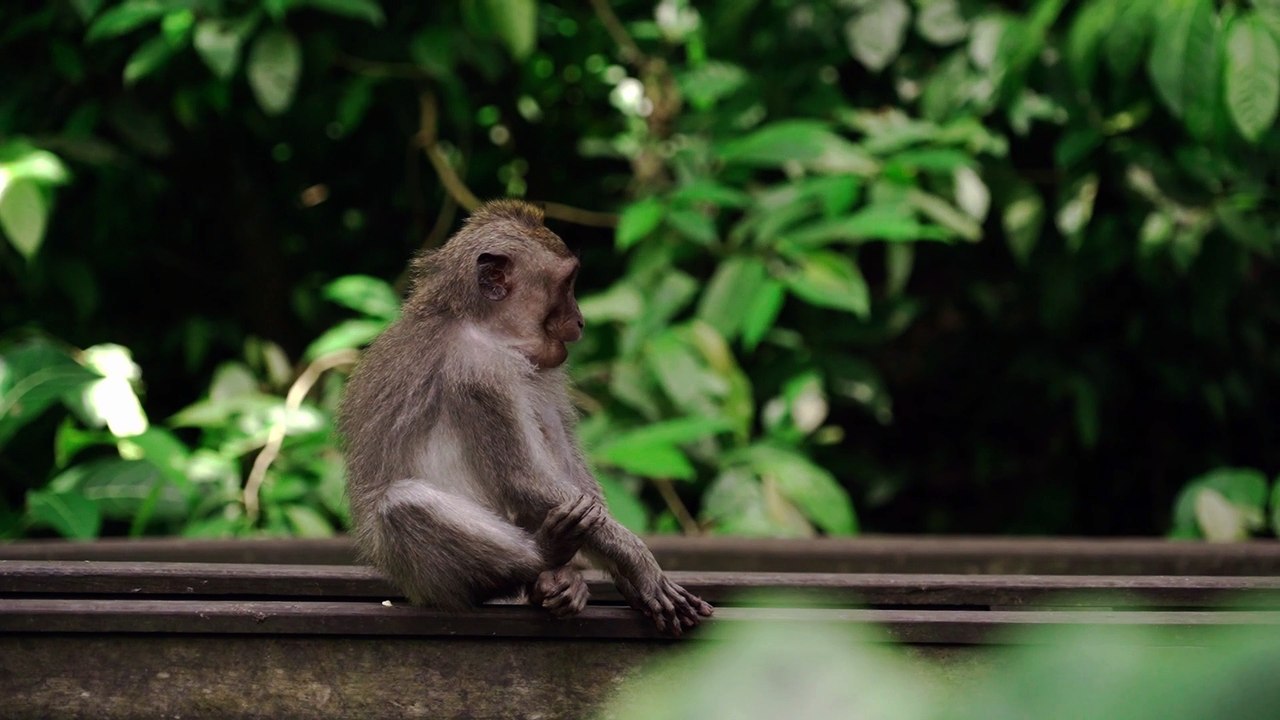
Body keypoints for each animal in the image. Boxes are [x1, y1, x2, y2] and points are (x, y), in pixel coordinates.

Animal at [338, 199, 713, 635]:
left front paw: (626, 576)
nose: (580, 321)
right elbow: (523, 479)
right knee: (401, 506)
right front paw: (639, 564)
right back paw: (546, 556)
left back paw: (559, 585)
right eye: (567, 285)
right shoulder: (478, 373)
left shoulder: (540, 368)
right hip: (425, 579)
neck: (481, 326)